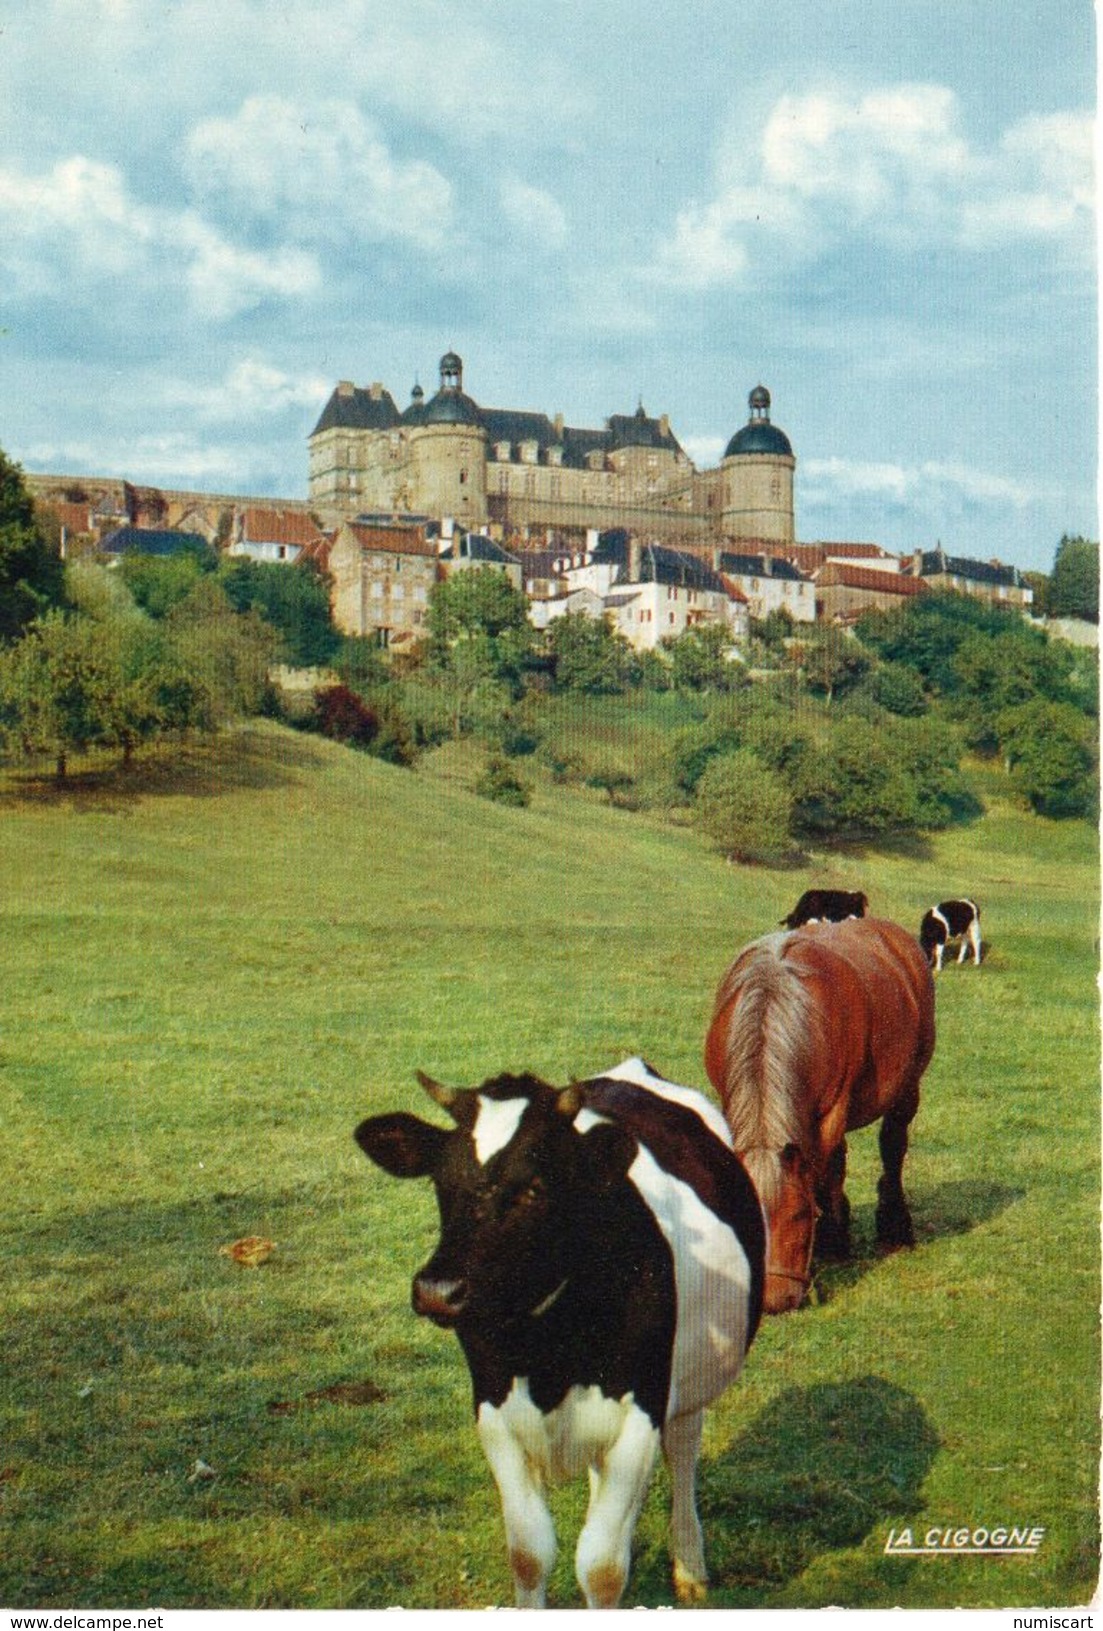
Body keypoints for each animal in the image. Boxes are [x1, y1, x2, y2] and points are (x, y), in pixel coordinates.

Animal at [355, 1056, 766, 1604]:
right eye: (442, 1182)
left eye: (535, 1188)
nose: (437, 1290)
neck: (549, 1355)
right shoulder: (495, 1412)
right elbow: (529, 1555)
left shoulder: (642, 1412)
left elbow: (602, 1567)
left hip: (688, 1384)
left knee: (682, 1455)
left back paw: (690, 1567)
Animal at [701, 919, 933, 1311]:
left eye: (798, 1214)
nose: (774, 1300)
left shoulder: (832, 1112)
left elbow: (822, 1177)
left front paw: (829, 1243)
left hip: (907, 1087)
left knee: (892, 1147)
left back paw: (893, 1228)